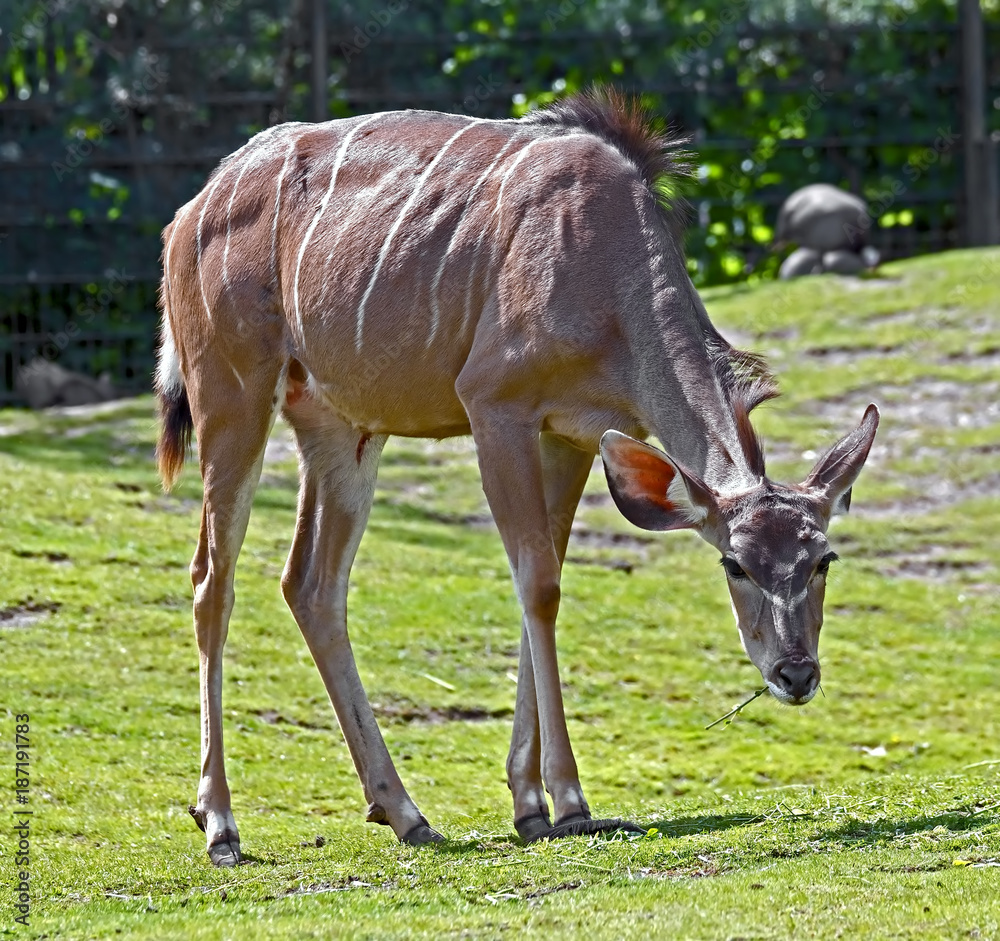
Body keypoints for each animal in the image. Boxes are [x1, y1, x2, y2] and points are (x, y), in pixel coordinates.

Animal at [155, 89, 879, 866]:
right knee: (213, 576)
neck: (604, 262)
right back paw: (221, 823)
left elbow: (546, 577)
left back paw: (403, 811)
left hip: (341, 426)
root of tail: (188, 216)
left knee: (312, 584)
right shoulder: (495, 407)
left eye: (823, 560)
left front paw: (530, 803)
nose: (796, 673)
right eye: (735, 565)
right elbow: (537, 583)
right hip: (232, 397)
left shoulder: (571, 433)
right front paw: (568, 801)